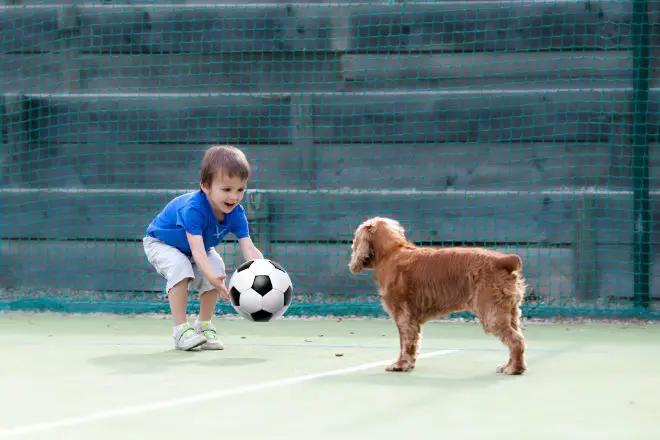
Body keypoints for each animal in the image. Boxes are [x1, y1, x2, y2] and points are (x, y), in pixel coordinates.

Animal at [348, 217, 528, 374]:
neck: (393, 252)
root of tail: (504, 260)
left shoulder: (403, 316)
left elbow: (404, 343)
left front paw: (400, 365)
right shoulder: (411, 319)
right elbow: (410, 344)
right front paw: (408, 364)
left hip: (492, 314)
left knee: (516, 340)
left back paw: (514, 369)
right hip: (510, 311)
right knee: (518, 337)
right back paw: (511, 366)